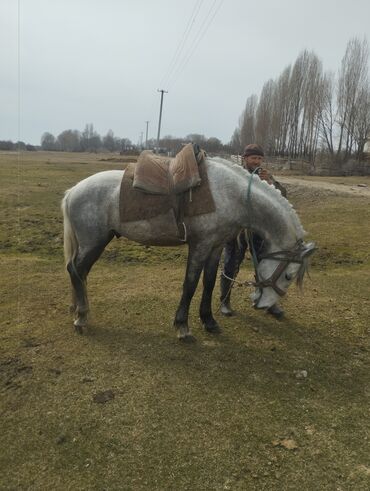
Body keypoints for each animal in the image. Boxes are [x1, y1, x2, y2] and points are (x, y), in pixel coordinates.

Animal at [61, 158, 316, 342]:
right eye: (289, 275)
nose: (264, 305)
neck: (230, 195)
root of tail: (73, 190)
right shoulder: (200, 245)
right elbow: (191, 284)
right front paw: (183, 326)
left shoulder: (215, 246)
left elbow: (209, 282)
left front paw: (209, 321)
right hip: (94, 242)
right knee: (76, 270)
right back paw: (81, 317)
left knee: (79, 272)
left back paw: (77, 309)